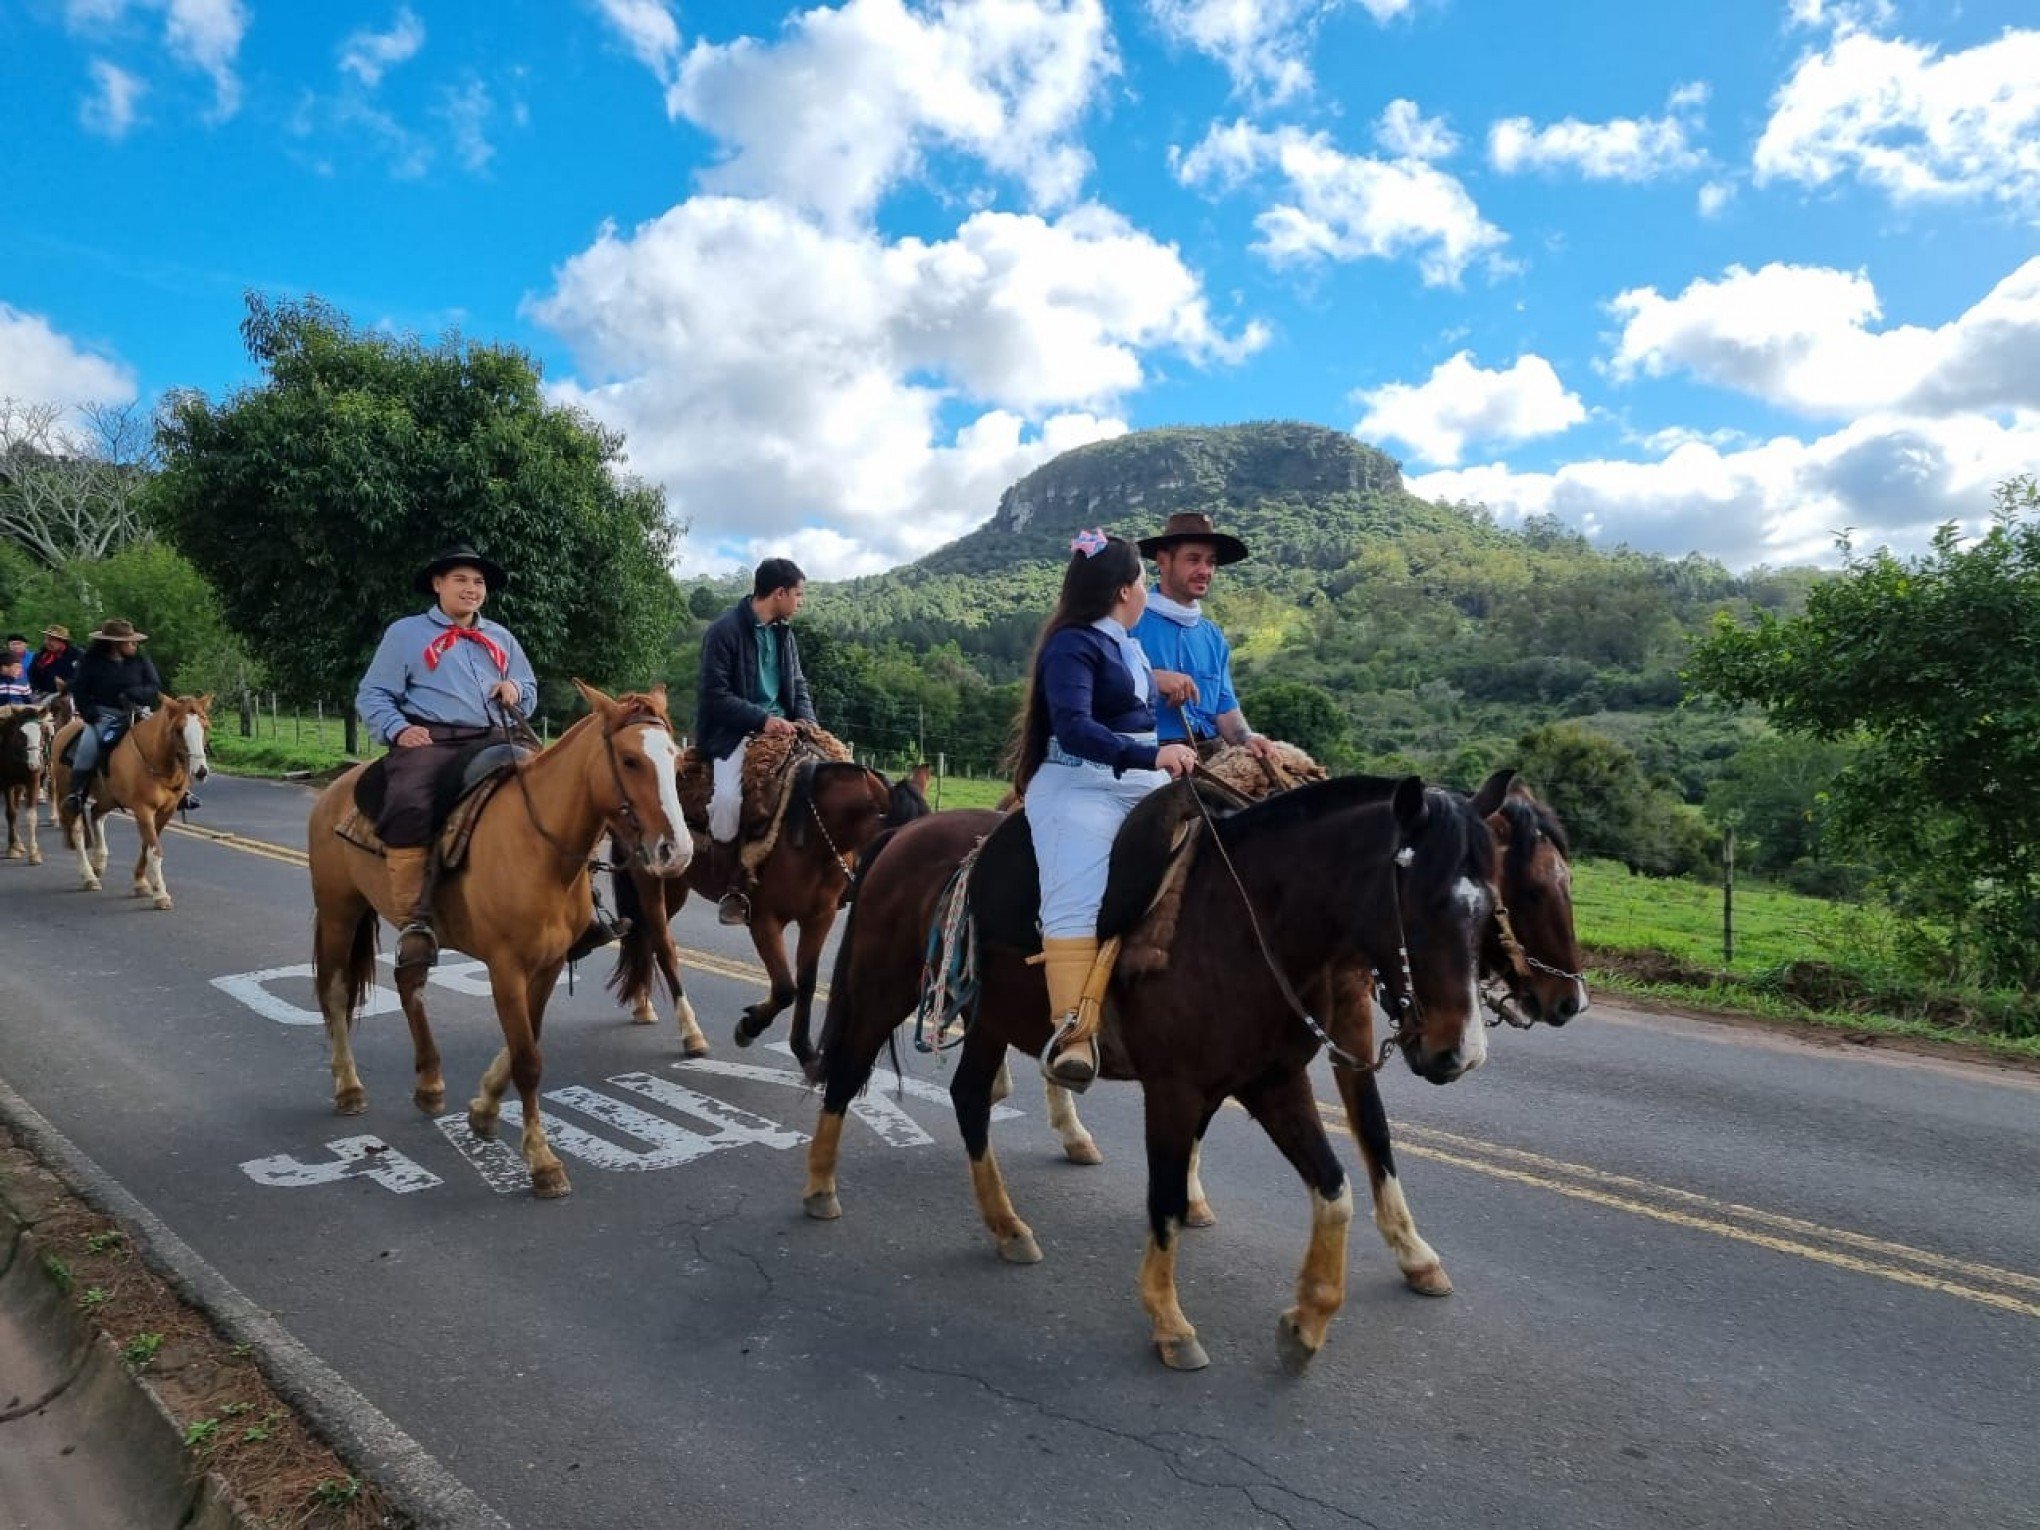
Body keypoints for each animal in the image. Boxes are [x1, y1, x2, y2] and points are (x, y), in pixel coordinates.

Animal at [0, 705, 53, 869]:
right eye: (21, 734)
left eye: (42, 732)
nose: (34, 763)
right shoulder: (7, 783)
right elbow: (10, 813)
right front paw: (11, 849)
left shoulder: (32, 781)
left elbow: (31, 815)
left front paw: (34, 853)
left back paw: (18, 843)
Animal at [50, 705, 212, 918]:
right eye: (178, 730)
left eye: (204, 727)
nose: (201, 771)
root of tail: (62, 731)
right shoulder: (143, 810)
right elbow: (154, 850)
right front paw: (161, 895)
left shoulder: (165, 812)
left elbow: (147, 846)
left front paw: (141, 883)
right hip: (69, 795)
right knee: (77, 832)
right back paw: (89, 876)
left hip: (108, 798)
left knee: (96, 813)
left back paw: (99, 862)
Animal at [301, 689, 685, 1207]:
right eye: (629, 760)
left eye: (675, 759)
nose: (676, 851)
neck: (539, 850)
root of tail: (335, 790)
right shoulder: (506, 968)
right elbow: (528, 1059)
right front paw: (542, 1162)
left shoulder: (547, 965)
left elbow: (527, 1040)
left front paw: (484, 1109)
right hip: (340, 913)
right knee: (336, 992)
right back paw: (348, 1086)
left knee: (408, 981)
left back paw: (429, 1082)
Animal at [603, 758, 893, 1068]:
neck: (811, 833)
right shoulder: (764, 920)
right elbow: (784, 988)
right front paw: (748, 1027)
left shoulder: (819, 918)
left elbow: (805, 983)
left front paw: (804, 1050)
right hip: (648, 879)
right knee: (663, 945)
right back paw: (691, 1034)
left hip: (676, 885)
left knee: (645, 936)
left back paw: (642, 1005)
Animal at [803, 779, 1493, 1379]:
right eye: (1422, 903)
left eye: (1488, 910)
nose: (1457, 1053)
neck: (1246, 921)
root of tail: (905, 834)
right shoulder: (1174, 1090)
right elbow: (1164, 1198)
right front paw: (1170, 1322)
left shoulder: (1272, 1081)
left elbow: (1334, 1188)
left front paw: (1307, 1322)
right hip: (882, 986)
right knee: (847, 1073)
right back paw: (819, 1188)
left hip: (991, 1018)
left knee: (970, 1097)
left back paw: (1007, 1226)